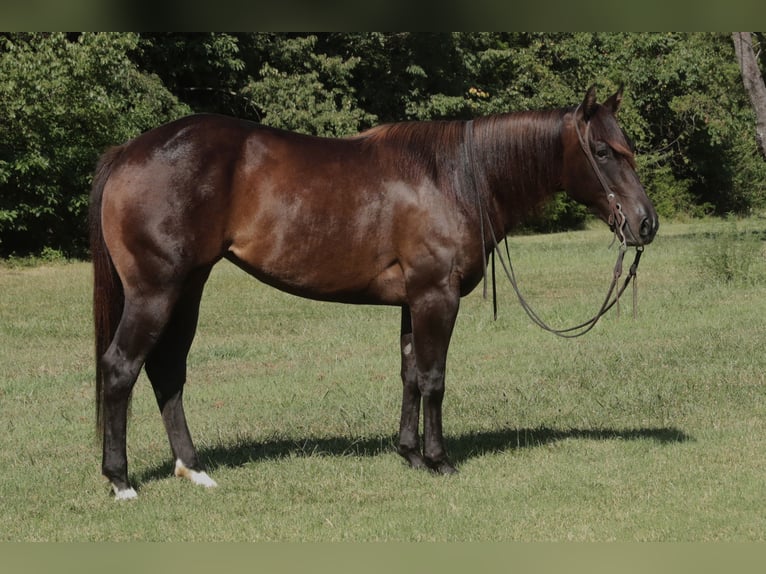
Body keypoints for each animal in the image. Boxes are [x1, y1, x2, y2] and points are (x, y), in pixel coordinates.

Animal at [90, 85, 658, 499]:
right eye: (603, 151)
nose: (645, 223)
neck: (455, 177)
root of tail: (128, 152)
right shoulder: (436, 297)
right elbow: (433, 378)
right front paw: (438, 460)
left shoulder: (413, 302)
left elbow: (409, 374)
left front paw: (409, 453)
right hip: (156, 292)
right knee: (120, 368)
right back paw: (121, 481)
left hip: (188, 289)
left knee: (168, 372)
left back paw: (194, 469)